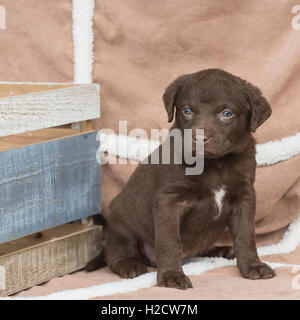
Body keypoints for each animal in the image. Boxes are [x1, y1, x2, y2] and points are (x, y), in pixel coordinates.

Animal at [85, 69, 276, 290]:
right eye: (186, 110)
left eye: (226, 113)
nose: (199, 137)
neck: (214, 164)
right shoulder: (169, 200)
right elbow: (169, 241)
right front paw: (171, 275)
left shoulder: (244, 196)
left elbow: (246, 236)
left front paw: (253, 266)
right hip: (121, 222)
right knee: (116, 252)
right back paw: (129, 264)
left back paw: (221, 250)